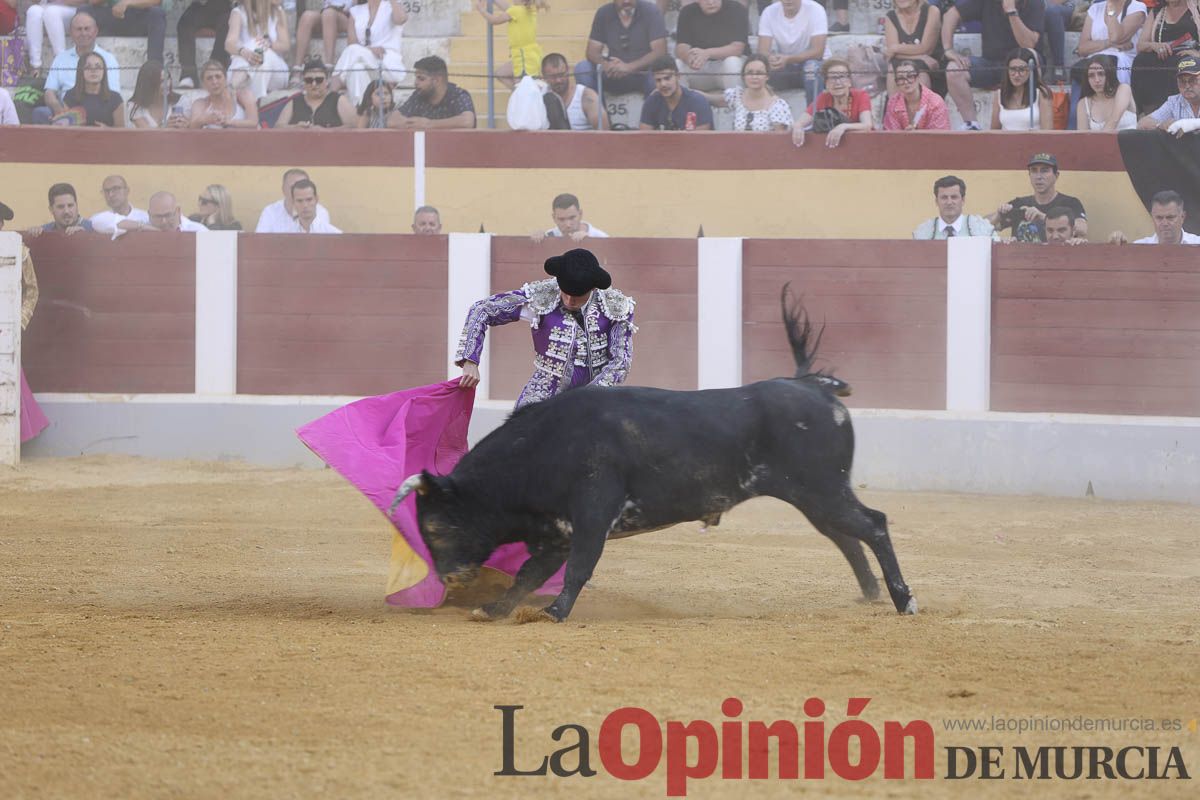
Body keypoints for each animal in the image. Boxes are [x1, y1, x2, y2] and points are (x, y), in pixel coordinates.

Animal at [391, 291, 907, 623]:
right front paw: (495, 609)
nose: (451, 580)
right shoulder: (558, 529)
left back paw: (904, 601)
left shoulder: (592, 512)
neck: (545, 447)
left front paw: (554, 613)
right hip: (812, 494)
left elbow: (578, 567)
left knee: (873, 525)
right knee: (846, 536)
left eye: (437, 526)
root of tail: (811, 385)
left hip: (824, 488)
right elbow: (528, 574)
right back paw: (870, 594)